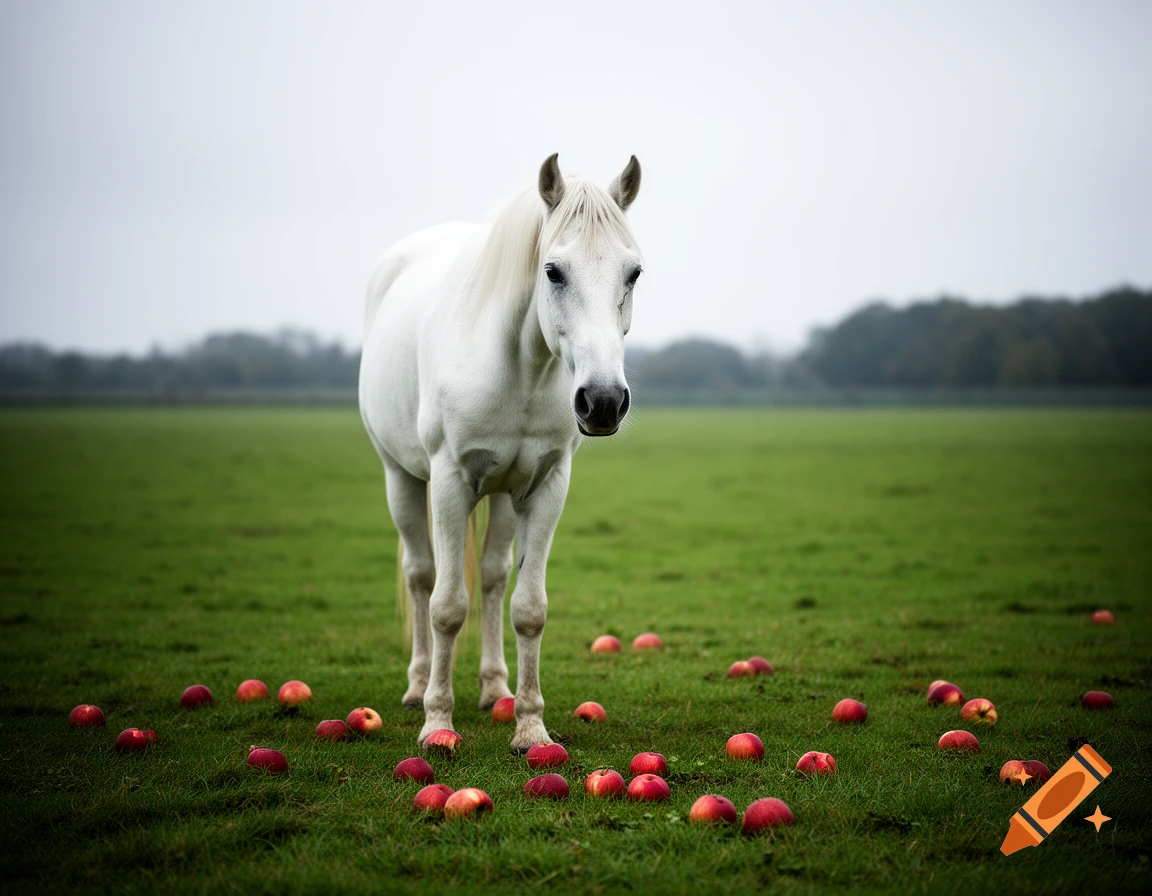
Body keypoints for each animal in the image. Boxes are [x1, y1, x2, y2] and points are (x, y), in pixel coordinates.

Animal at [359, 154, 643, 750]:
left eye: (633, 273)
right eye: (553, 271)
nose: (604, 401)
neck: (521, 368)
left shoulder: (545, 486)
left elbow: (527, 608)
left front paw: (531, 728)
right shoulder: (449, 482)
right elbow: (446, 607)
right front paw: (437, 724)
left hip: (505, 495)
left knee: (490, 579)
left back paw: (494, 688)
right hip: (402, 478)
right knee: (421, 575)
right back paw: (418, 686)